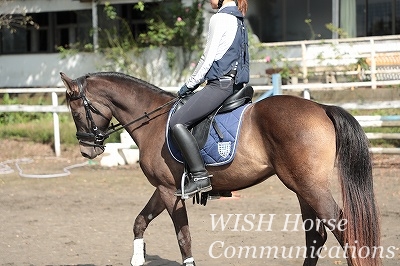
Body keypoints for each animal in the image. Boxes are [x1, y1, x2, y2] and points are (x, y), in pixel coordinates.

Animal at [60, 71, 382, 266]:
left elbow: (184, 238)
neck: (152, 122)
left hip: (310, 187)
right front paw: (137, 259)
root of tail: (322, 108)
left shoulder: (169, 191)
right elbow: (140, 221)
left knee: (344, 230)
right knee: (316, 237)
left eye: (75, 112)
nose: (87, 150)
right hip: (303, 188)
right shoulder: (165, 189)